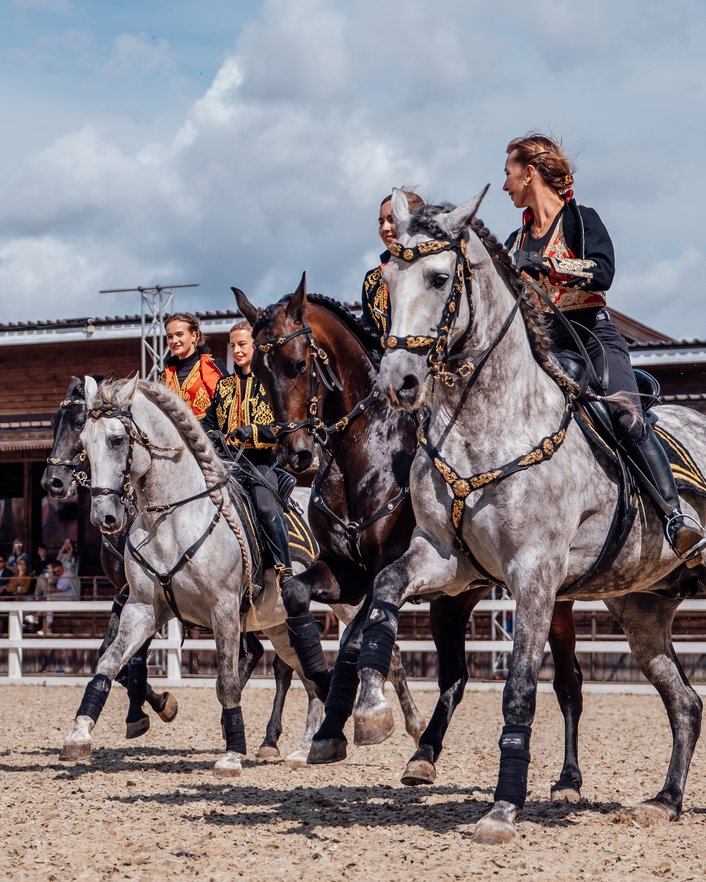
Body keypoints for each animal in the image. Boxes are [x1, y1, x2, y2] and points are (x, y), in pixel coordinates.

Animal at [60, 374, 324, 772]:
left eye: (117, 440)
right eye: (85, 443)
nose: (103, 517)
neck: (170, 517)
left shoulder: (224, 610)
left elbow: (226, 682)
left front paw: (232, 753)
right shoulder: (141, 608)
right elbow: (108, 663)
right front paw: (79, 734)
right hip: (280, 625)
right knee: (305, 675)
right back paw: (305, 749)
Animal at [234, 282, 580, 796]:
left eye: (297, 364)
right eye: (257, 373)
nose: (295, 455)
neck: (365, 455)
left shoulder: (386, 571)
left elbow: (356, 642)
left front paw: (354, 716)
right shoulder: (347, 574)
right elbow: (298, 595)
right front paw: (325, 703)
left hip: (554, 599)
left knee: (568, 682)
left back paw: (569, 778)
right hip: (452, 601)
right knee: (456, 677)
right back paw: (423, 756)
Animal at [352, 187, 704, 840]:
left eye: (439, 277)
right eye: (387, 278)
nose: (399, 382)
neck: (491, 425)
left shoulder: (535, 575)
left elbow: (519, 689)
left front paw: (503, 806)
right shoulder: (448, 562)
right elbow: (383, 595)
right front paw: (370, 711)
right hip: (643, 610)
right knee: (685, 701)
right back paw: (665, 800)